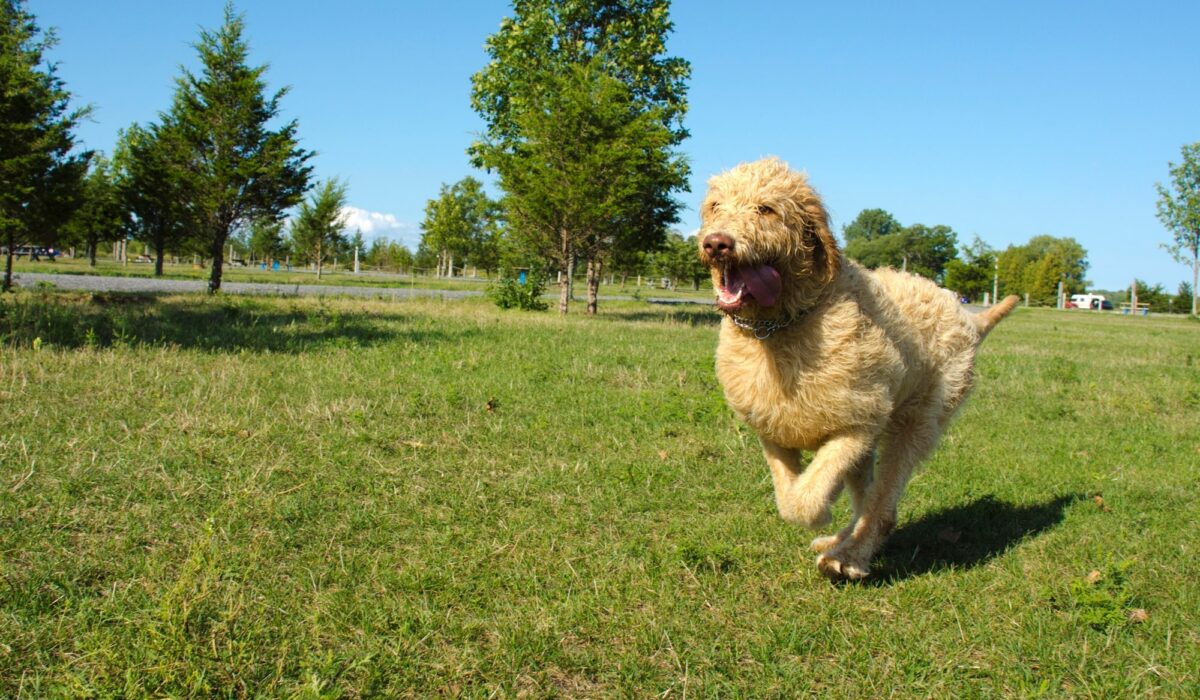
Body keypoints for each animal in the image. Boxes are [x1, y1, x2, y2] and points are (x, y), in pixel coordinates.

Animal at [700, 158, 1017, 581]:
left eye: (766, 209)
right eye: (715, 206)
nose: (716, 243)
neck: (784, 326)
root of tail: (967, 316)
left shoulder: (856, 426)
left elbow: (807, 500)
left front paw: (823, 508)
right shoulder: (772, 430)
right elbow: (789, 498)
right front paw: (821, 510)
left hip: (915, 422)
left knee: (882, 504)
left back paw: (848, 556)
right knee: (872, 501)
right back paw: (841, 541)